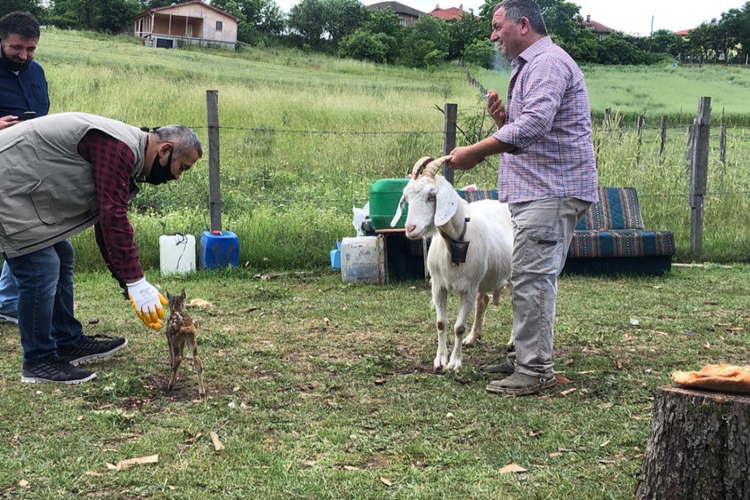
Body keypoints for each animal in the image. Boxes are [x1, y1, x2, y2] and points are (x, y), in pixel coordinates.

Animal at [390, 155, 516, 372]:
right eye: (406, 197)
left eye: (432, 196)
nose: (410, 228)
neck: (456, 242)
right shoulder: (438, 286)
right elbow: (441, 323)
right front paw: (440, 361)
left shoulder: (469, 289)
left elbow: (459, 327)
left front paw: (455, 362)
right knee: (483, 301)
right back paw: (472, 338)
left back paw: (512, 342)